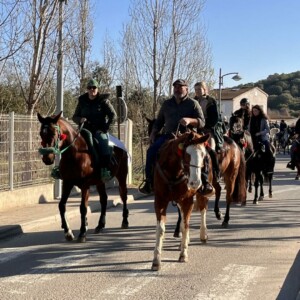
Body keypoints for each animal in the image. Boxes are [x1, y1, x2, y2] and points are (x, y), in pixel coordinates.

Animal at [37, 111, 129, 243]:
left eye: (53, 133)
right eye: (41, 133)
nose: (47, 158)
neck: (75, 153)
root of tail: (120, 144)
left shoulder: (85, 185)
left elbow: (83, 208)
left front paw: (82, 233)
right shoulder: (67, 183)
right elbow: (61, 205)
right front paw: (68, 232)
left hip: (121, 176)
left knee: (124, 196)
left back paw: (125, 221)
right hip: (100, 182)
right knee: (104, 200)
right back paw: (100, 225)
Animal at [152, 132, 213, 270]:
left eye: (203, 155)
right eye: (187, 154)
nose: (195, 183)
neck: (174, 172)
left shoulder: (187, 200)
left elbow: (186, 225)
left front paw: (183, 254)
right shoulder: (160, 200)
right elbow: (161, 229)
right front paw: (156, 260)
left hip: (202, 194)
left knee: (203, 210)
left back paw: (203, 234)